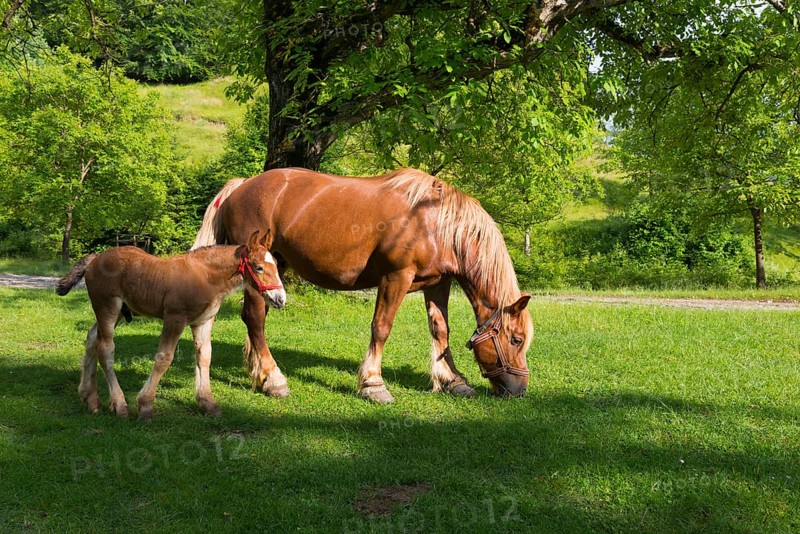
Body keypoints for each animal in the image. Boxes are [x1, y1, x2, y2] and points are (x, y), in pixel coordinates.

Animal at [56, 230, 286, 420]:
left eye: (276, 264)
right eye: (258, 267)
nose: (280, 299)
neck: (205, 276)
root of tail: (95, 258)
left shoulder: (203, 322)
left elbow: (204, 356)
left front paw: (207, 402)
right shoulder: (174, 318)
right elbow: (164, 358)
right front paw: (145, 406)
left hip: (119, 311)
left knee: (92, 338)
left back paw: (90, 399)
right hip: (107, 307)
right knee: (105, 348)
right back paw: (119, 404)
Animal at [192, 167, 533, 404]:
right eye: (516, 339)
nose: (519, 390)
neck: (435, 221)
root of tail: (241, 186)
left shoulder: (437, 284)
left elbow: (441, 331)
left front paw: (453, 381)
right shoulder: (396, 277)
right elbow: (381, 328)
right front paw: (373, 384)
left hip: (272, 269)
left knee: (255, 320)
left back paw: (258, 371)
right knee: (254, 319)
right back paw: (273, 379)